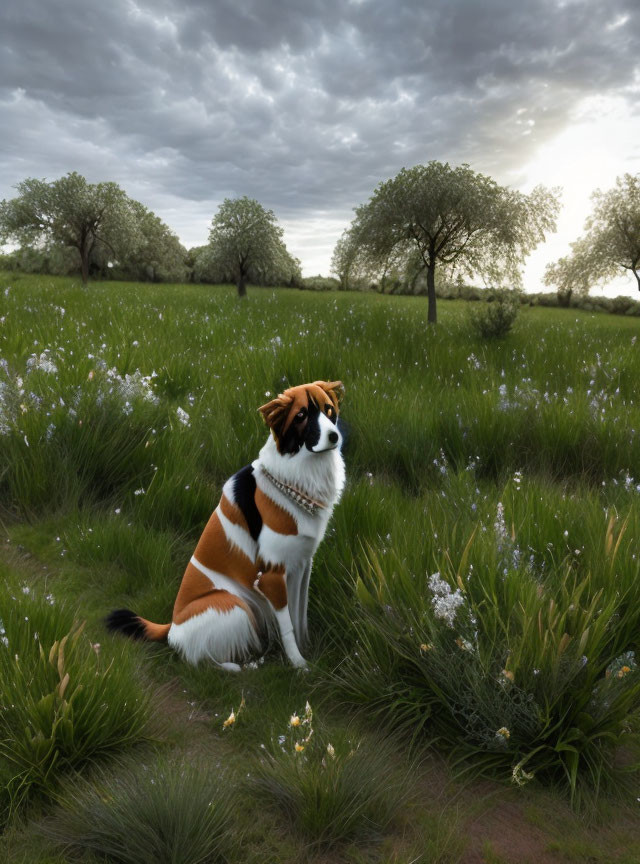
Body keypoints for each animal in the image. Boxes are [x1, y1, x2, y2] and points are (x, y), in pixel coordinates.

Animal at [105, 382, 344, 672]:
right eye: (301, 416)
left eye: (328, 409)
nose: (334, 437)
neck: (297, 478)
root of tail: (172, 627)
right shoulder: (272, 576)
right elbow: (288, 627)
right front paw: (299, 665)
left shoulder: (302, 565)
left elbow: (300, 617)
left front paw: (307, 651)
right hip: (235, 604)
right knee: (197, 658)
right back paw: (238, 667)